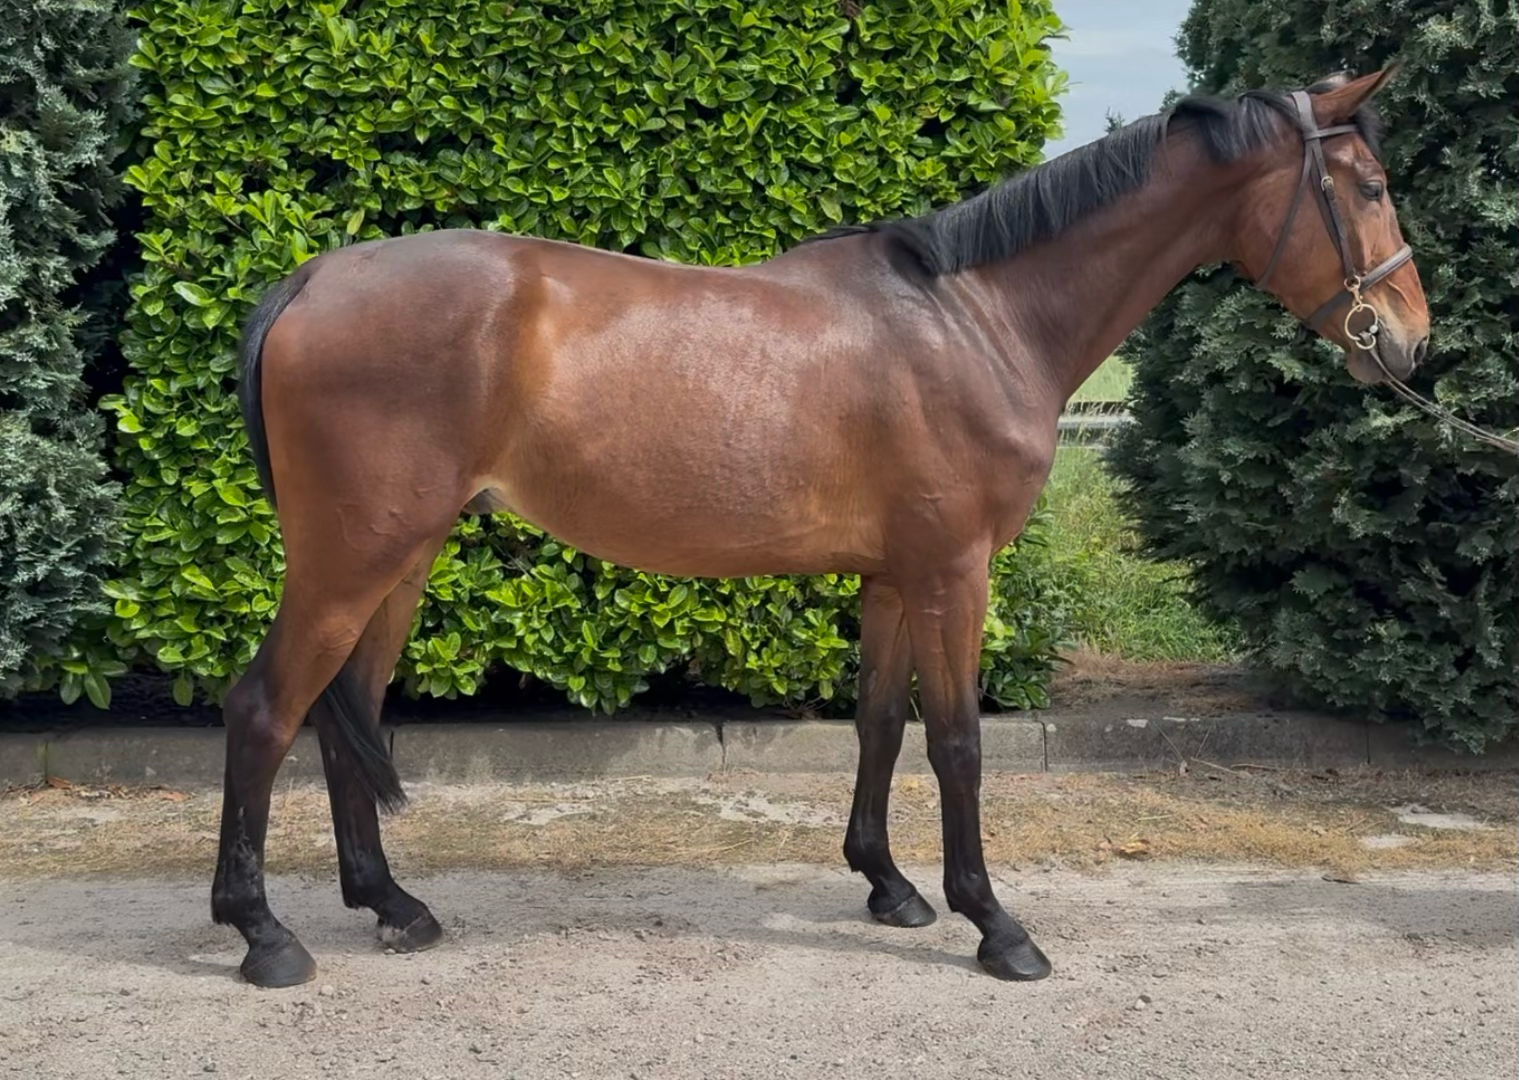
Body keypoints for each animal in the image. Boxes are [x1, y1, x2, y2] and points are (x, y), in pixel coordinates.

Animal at [211, 68, 1428, 987]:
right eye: (1367, 184)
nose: (1409, 342)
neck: (974, 318)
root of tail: (313, 278)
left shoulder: (893, 578)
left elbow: (880, 728)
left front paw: (889, 887)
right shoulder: (953, 574)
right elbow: (957, 743)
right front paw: (998, 927)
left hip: (402, 555)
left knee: (346, 713)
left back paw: (391, 904)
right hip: (352, 556)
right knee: (267, 707)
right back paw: (263, 934)